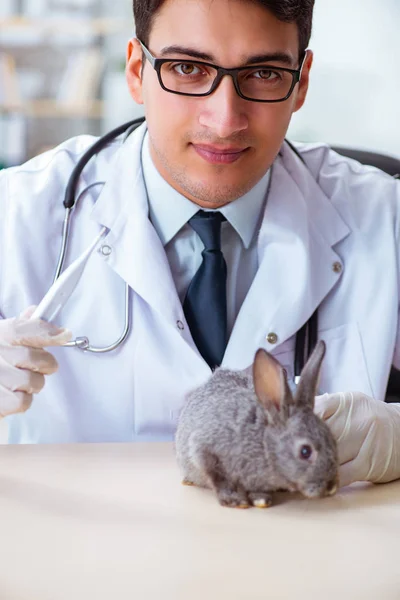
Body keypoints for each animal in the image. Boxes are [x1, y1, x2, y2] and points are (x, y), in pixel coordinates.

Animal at [175, 340, 338, 508]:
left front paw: (261, 499)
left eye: (333, 441)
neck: (263, 443)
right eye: (305, 451)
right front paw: (235, 500)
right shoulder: (206, 450)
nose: (331, 487)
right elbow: (220, 480)